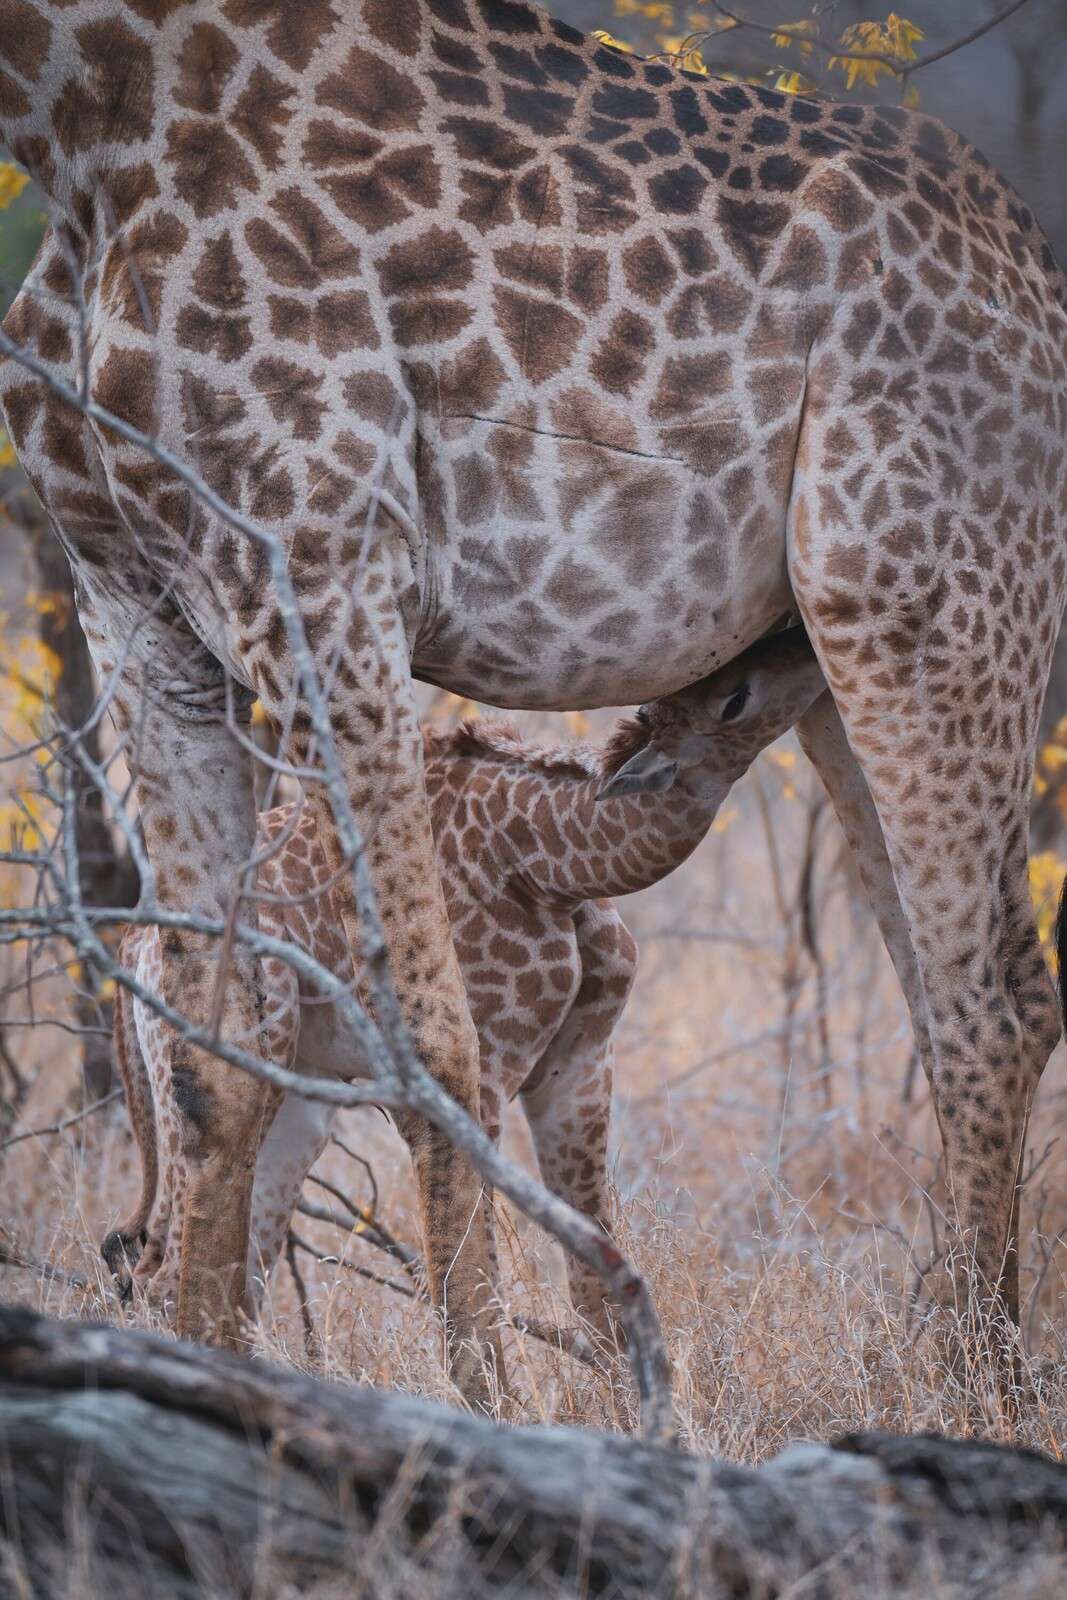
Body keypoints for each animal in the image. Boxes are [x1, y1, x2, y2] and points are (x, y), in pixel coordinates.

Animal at [105, 626, 828, 1343]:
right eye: (734, 697)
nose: (802, 648)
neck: (551, 868)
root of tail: (134, 942)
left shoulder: (580, 1062)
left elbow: (595, 1291)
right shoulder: (486, 1072)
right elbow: (484, 1274)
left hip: (301, 1095)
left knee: (238, 1268)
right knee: (161, 1272)